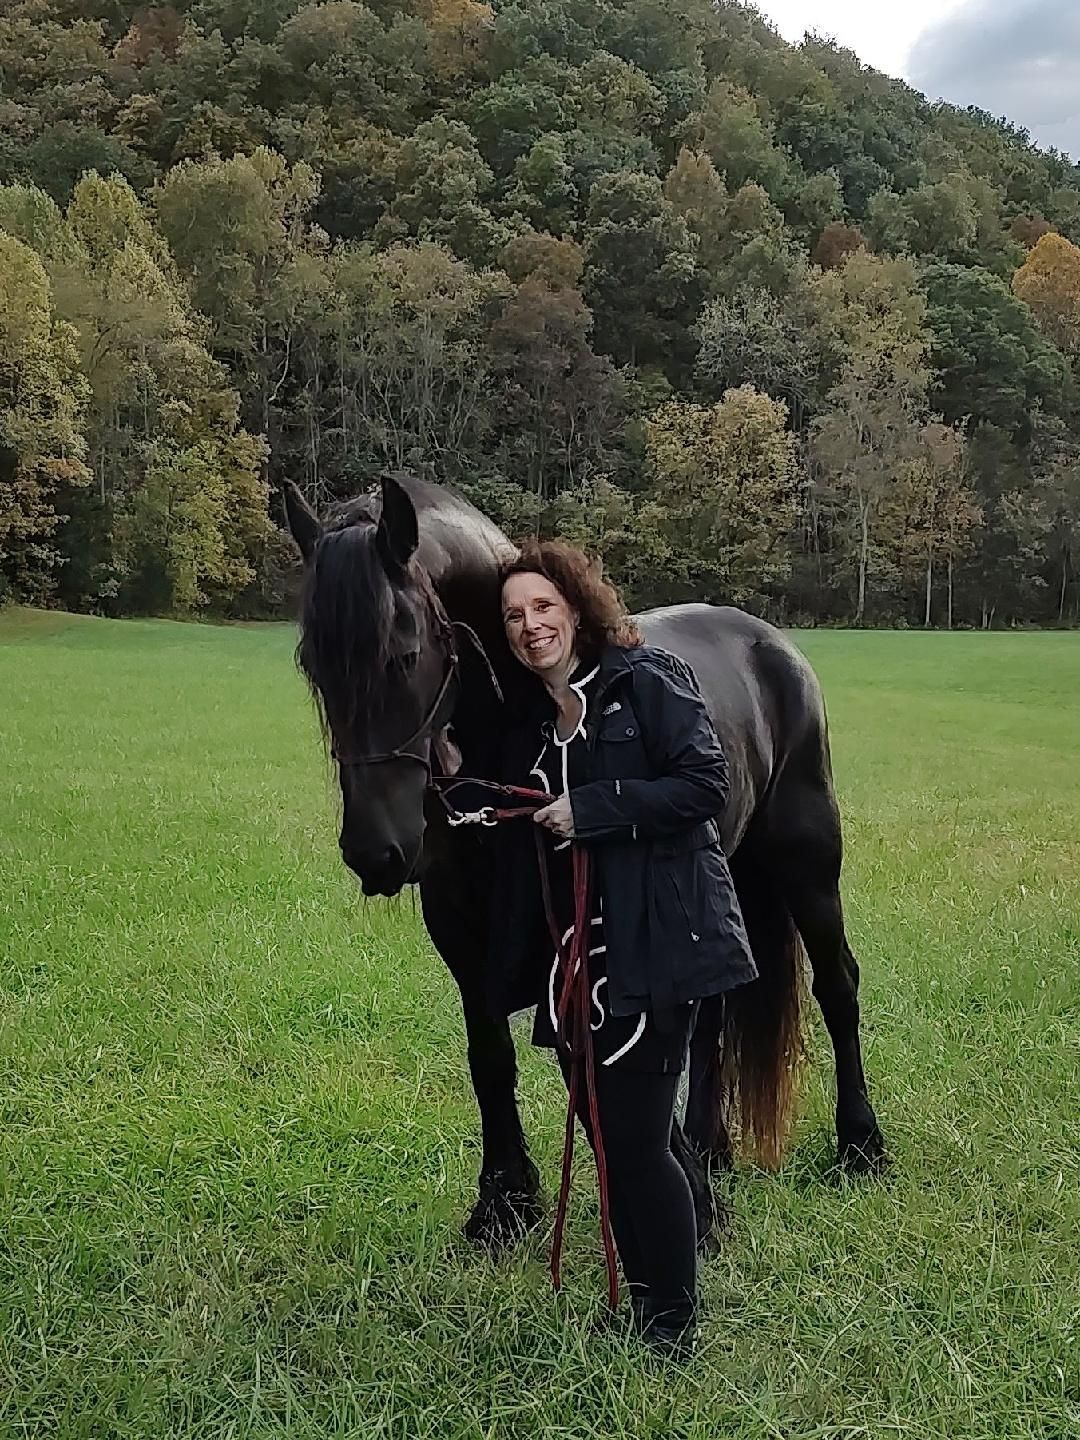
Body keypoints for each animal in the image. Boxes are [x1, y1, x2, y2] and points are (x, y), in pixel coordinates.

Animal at [282, 470, 887, 1248]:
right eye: (313, 664)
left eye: (405, 651)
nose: (375, 851)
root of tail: (769, 643)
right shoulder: (460, 931)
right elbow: (491, 1056)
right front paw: (504, 1203)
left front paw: (680, 1205)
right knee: (713, 1013)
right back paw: (712, 1148)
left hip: (808, 866)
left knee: (837, 986)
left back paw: (860, 1144)